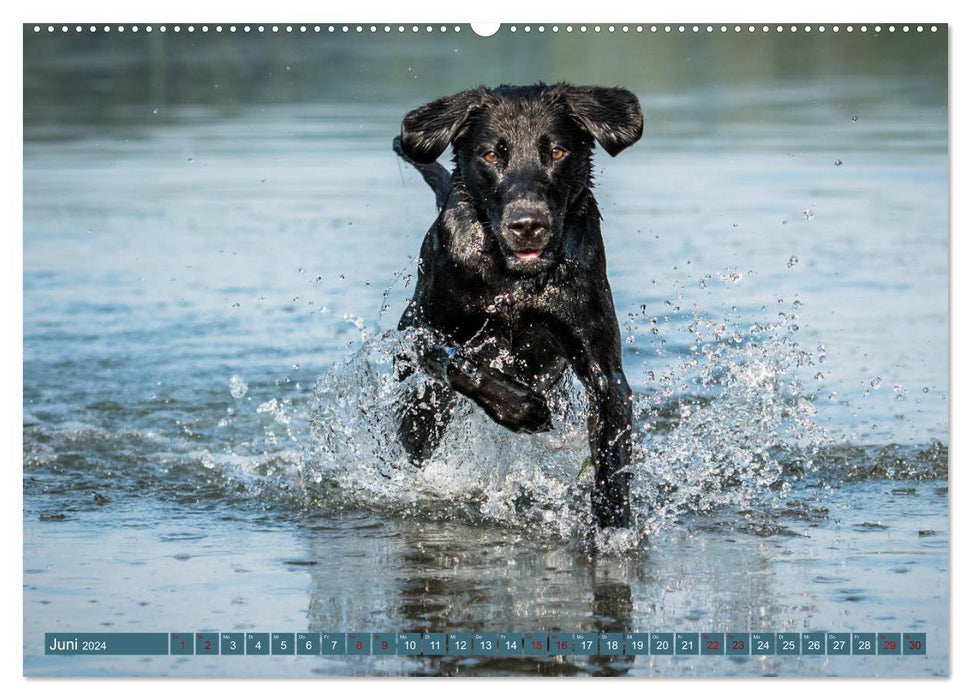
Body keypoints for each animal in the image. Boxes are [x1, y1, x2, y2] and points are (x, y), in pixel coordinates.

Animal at [392, 83, 640, 532]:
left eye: (557, 152)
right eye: (491, 155)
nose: (527, 224)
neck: (514, 282)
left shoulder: (604, 371)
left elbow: (611, 456)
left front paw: (612, 525)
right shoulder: (416, 331)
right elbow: (458, 360)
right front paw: (523, 409)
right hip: (423, 401)